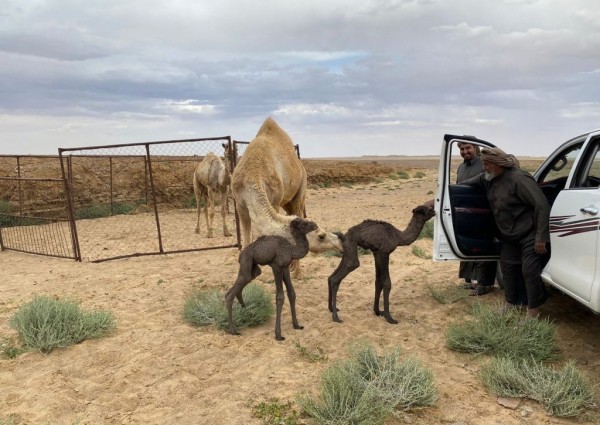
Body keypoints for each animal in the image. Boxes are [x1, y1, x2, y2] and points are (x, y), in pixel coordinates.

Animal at [230, 116, 342, 276]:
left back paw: (297, 272)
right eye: (321, 235)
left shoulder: (274, 202)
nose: (339, 242)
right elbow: (246, 238)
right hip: (286, 202)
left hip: (301, 189)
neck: (253, 176)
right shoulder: (240, 205)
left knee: (298, 209)